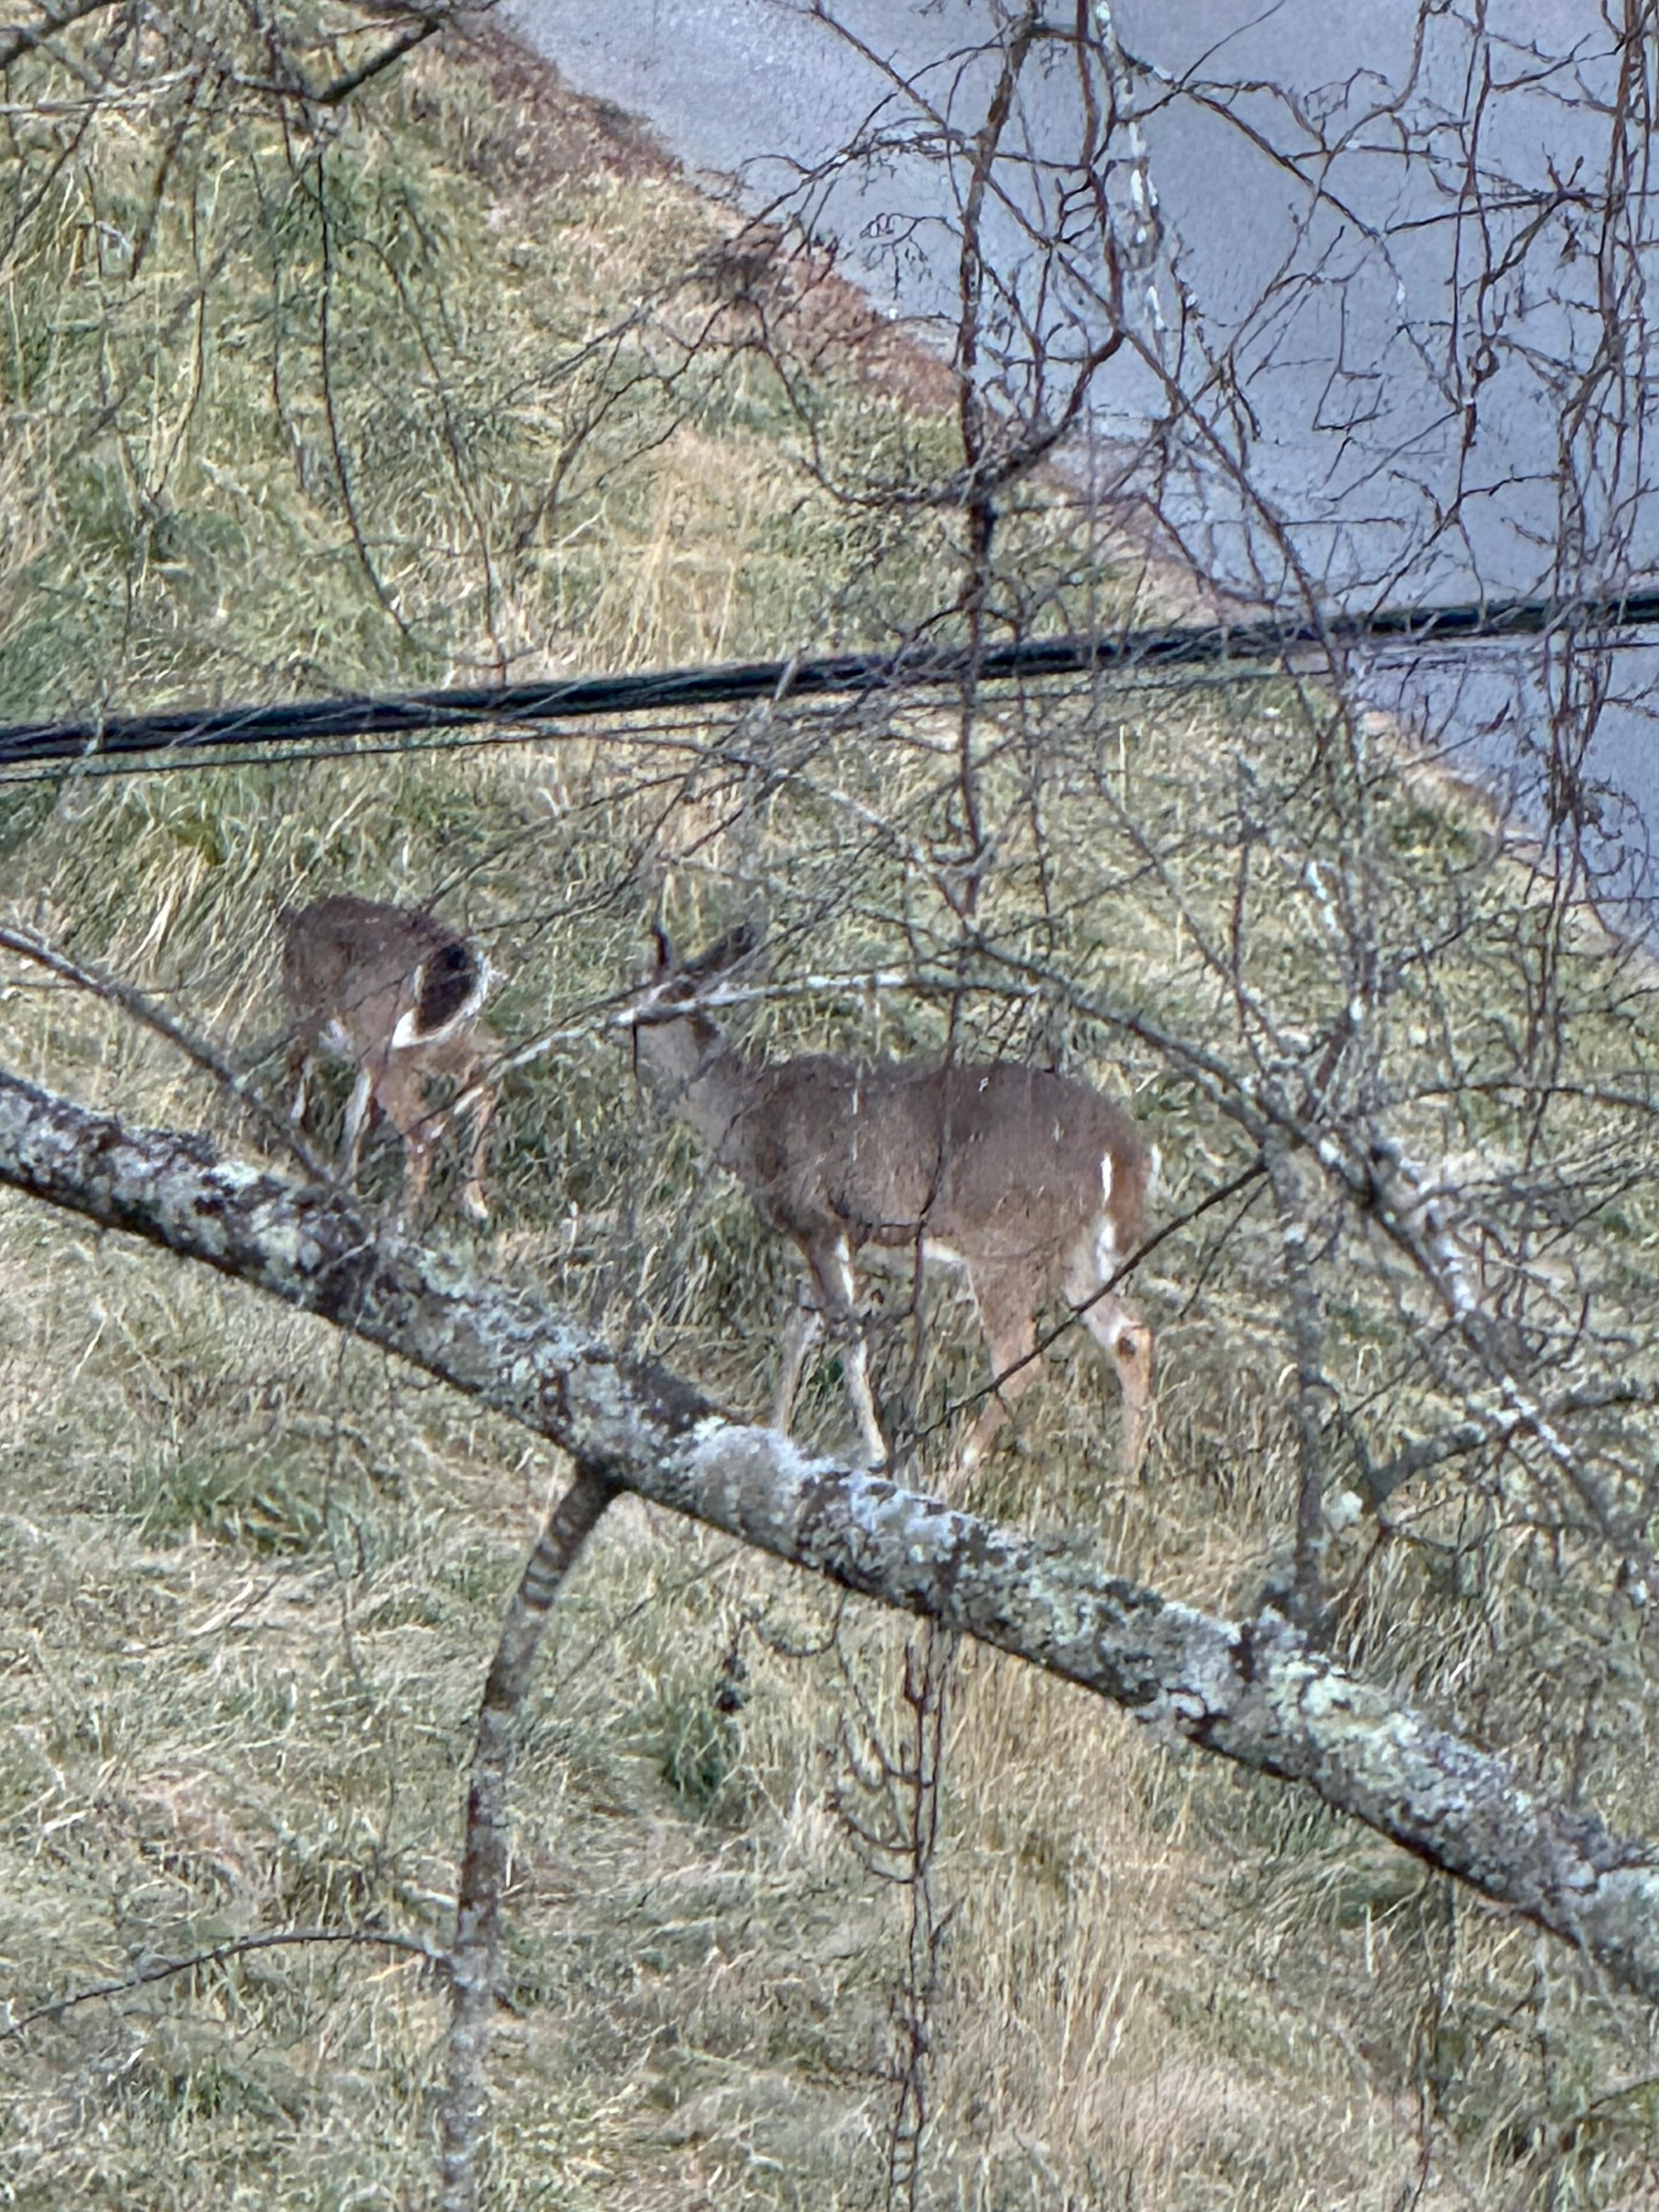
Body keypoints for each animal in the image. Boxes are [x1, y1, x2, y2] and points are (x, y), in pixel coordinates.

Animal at [281, 895, 497, 1222]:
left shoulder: (311, 1019)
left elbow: (300, 1077)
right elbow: (354, 1115)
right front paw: (346, 1185)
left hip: (387, 1043)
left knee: (423, 1129)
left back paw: (402, 1220)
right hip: (444, 1043)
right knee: (489, 1072)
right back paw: (475, 1202)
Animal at [629, 926, 1157, 1488]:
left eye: (650, 991)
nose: (621, 1020)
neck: (748, 1120)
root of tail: (1127, 1154)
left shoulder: (817, 1218)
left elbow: (847, 1337)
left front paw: (874, 1453)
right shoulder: (823, 1235)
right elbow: (801, 1326)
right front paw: (777, 1430)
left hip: (1006, 1245)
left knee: (1020, 1360)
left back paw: (950, 1480)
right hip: (1078, 1254)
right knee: (1131, 1336)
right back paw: (1124, 1481)